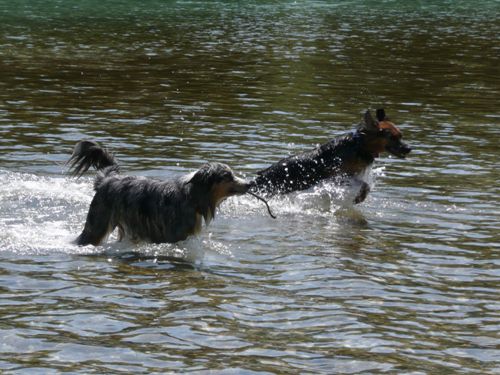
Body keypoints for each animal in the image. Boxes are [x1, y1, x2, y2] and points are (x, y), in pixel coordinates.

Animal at [67, 141, 254, 247]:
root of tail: (107, 179)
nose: (250, 183)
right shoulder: (173, 238)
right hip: (96, 225)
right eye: (227, 176)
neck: (192, 197)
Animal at [250, 109, 410, 203]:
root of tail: (258, 178)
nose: (409, 149)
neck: (359, 146)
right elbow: (365, 185)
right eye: (393, 137)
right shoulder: (338, 177)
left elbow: (366, 185)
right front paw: (360, 197)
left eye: (401, 136)